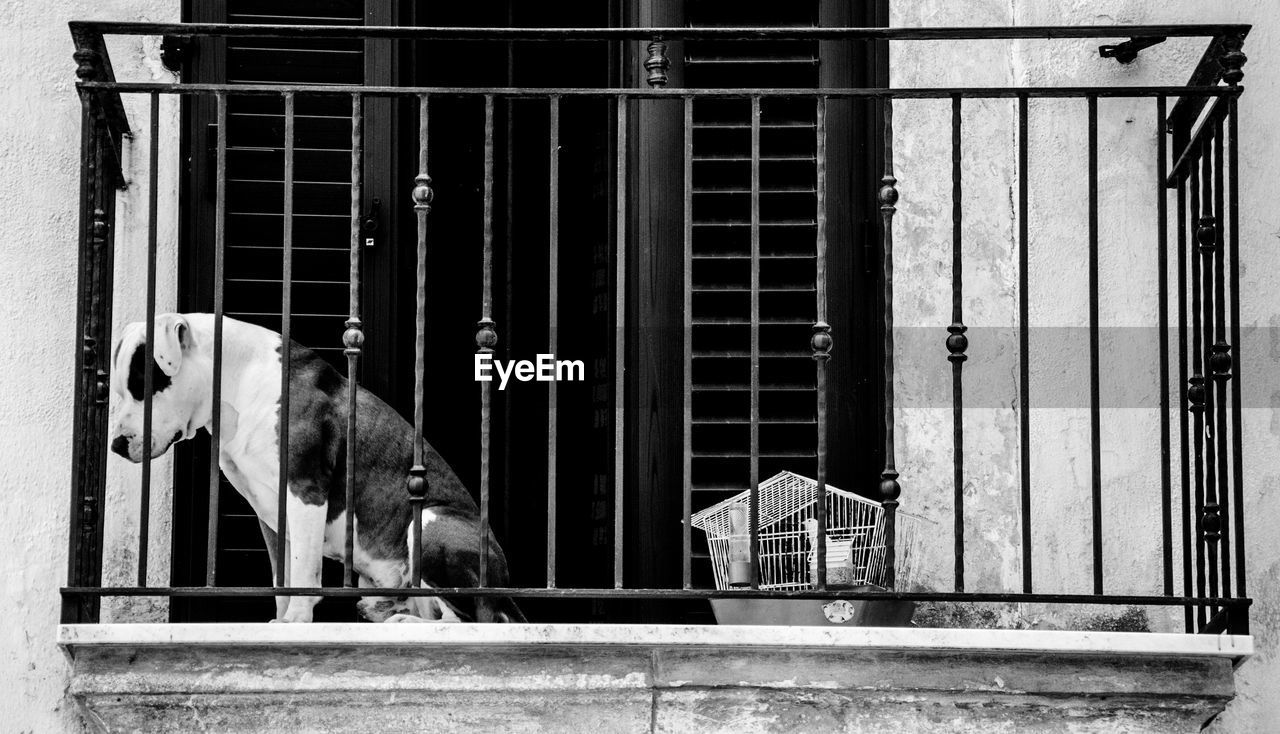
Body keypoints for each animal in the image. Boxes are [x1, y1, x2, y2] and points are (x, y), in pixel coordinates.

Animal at [107, 312, 522, 619]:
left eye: (143, 384)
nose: (115, 444)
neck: (238, 381)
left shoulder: (305, 490)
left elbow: (304, 573)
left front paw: (294, 623)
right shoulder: (272, 514)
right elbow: (283, 578)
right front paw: (280, 619)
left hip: (430, 523)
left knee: (472, 619)